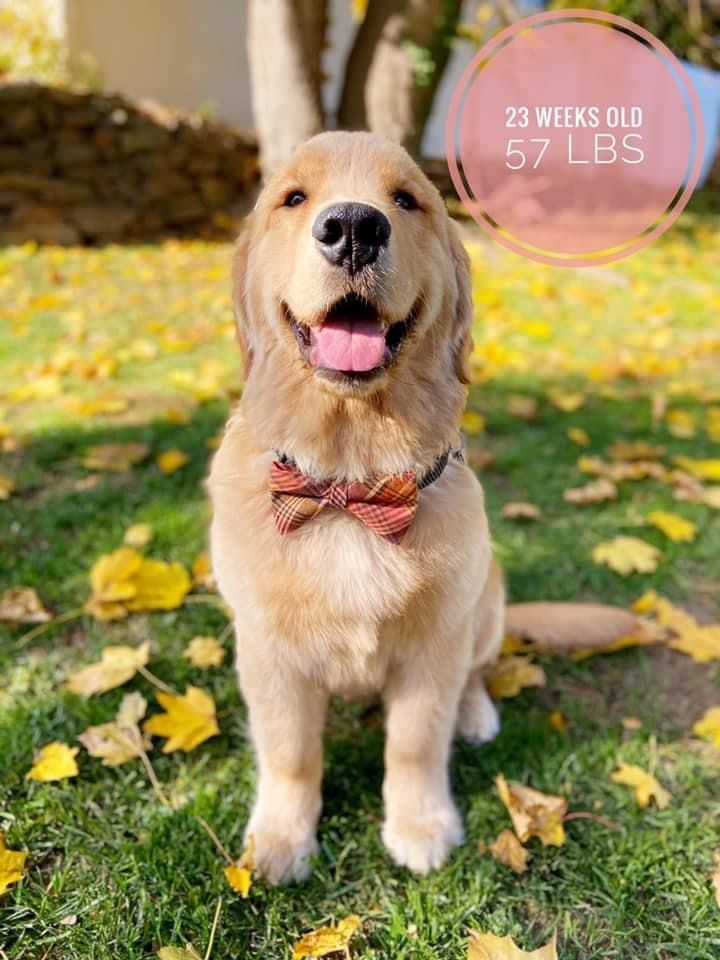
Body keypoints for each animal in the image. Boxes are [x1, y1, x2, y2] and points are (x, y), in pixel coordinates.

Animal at [208, 130, 637, 884]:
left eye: (407, 200)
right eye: (293, 198)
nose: (354, 228)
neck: (351, 485)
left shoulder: (433, 646)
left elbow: (415, 743)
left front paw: (421, 825)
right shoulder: (268, 653)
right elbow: (290, 755)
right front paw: (283, 837)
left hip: (484, 604)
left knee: (476, 673)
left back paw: (476, 713)